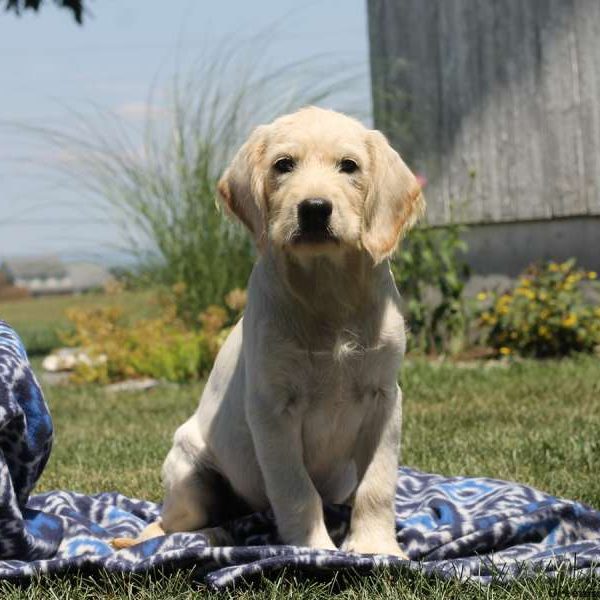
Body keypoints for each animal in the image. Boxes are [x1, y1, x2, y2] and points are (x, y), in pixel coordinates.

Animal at [111, 105, 422, 556]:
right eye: (283, 165)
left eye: (349, 166)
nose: (314, 209)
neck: (326, 287)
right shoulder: (272, 409)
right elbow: (296, 489)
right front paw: (314, 548)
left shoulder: (384, 400)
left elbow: (378, 484)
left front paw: (375, 546)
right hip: (189, 473)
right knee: (173, 524)